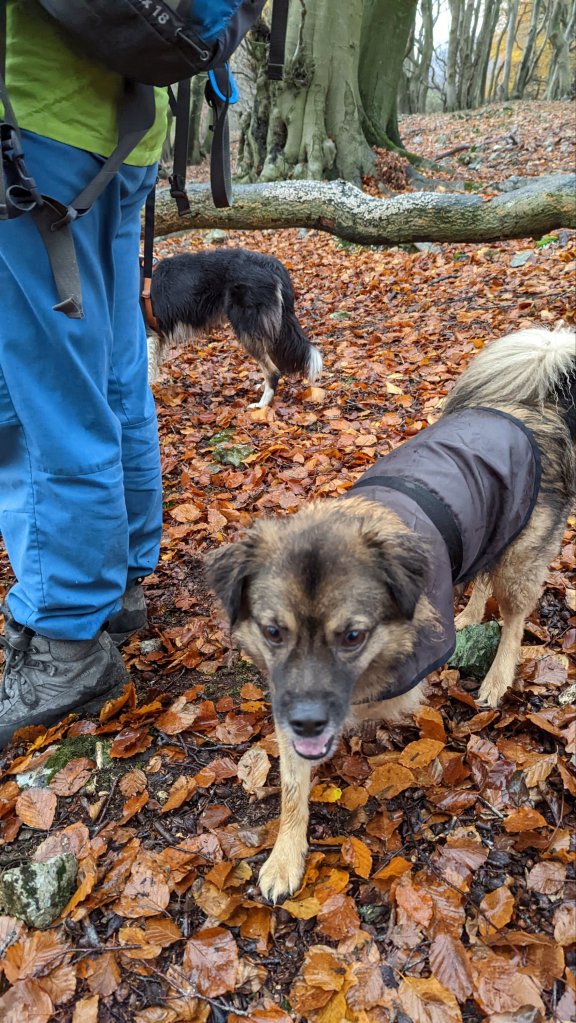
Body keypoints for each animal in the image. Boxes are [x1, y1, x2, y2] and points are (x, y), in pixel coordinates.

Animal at [146, 247, 322, 406]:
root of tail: (271, 264)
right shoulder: (156, 337)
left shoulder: (147, 336)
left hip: (247, 328)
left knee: (273, 371)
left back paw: (261, 405)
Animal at [207, 327, 576, 902]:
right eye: (272, 632)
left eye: (353, 636)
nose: (307, 721)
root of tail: (527, 407)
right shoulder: (286, 694)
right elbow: (291, 785)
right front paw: (285, 856)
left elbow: (378, 701)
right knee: (482, 580)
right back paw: (470, 615)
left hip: (519, 558)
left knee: (515, 617)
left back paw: (497, 677)